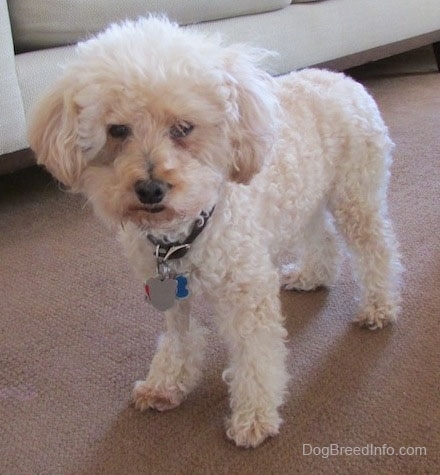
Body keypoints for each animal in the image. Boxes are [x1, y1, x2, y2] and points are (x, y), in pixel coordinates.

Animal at [29, 16, 402, 450]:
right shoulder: (167, 292)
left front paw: (254, 417)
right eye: (117, 129)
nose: (150, 189)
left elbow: (256, 356)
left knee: (376, 249)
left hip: (355, 196)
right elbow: (178, 338)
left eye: (183, 128)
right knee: (321, 235)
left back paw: (378, 307)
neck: (182, 235)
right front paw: (165, 384)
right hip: (305, 196)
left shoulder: (247, 291)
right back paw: (312, 275)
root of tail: (341, 77)